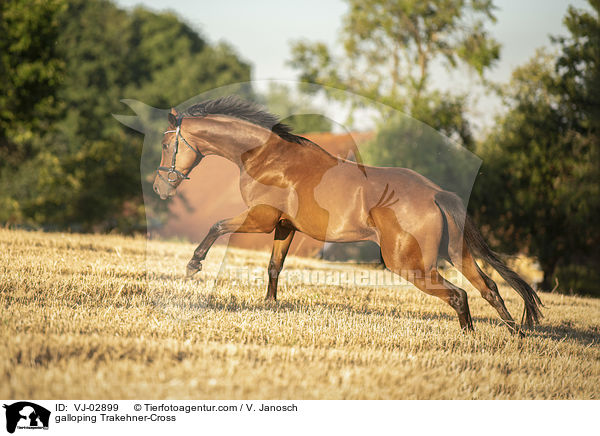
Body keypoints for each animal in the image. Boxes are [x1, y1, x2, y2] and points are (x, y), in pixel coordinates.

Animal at [152, 96, 540, 334]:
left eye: (167, 144)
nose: (159, 188)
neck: (267, 157)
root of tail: (436, 194)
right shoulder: (284, 227)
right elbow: (274, 266)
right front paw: (270, 305)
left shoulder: (261, 219)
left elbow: (217, 225)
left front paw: (193, 264)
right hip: (457, 253)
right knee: (490, 287)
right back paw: (515, 332)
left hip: (409, 264)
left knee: (459, 295)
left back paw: (470, 337)